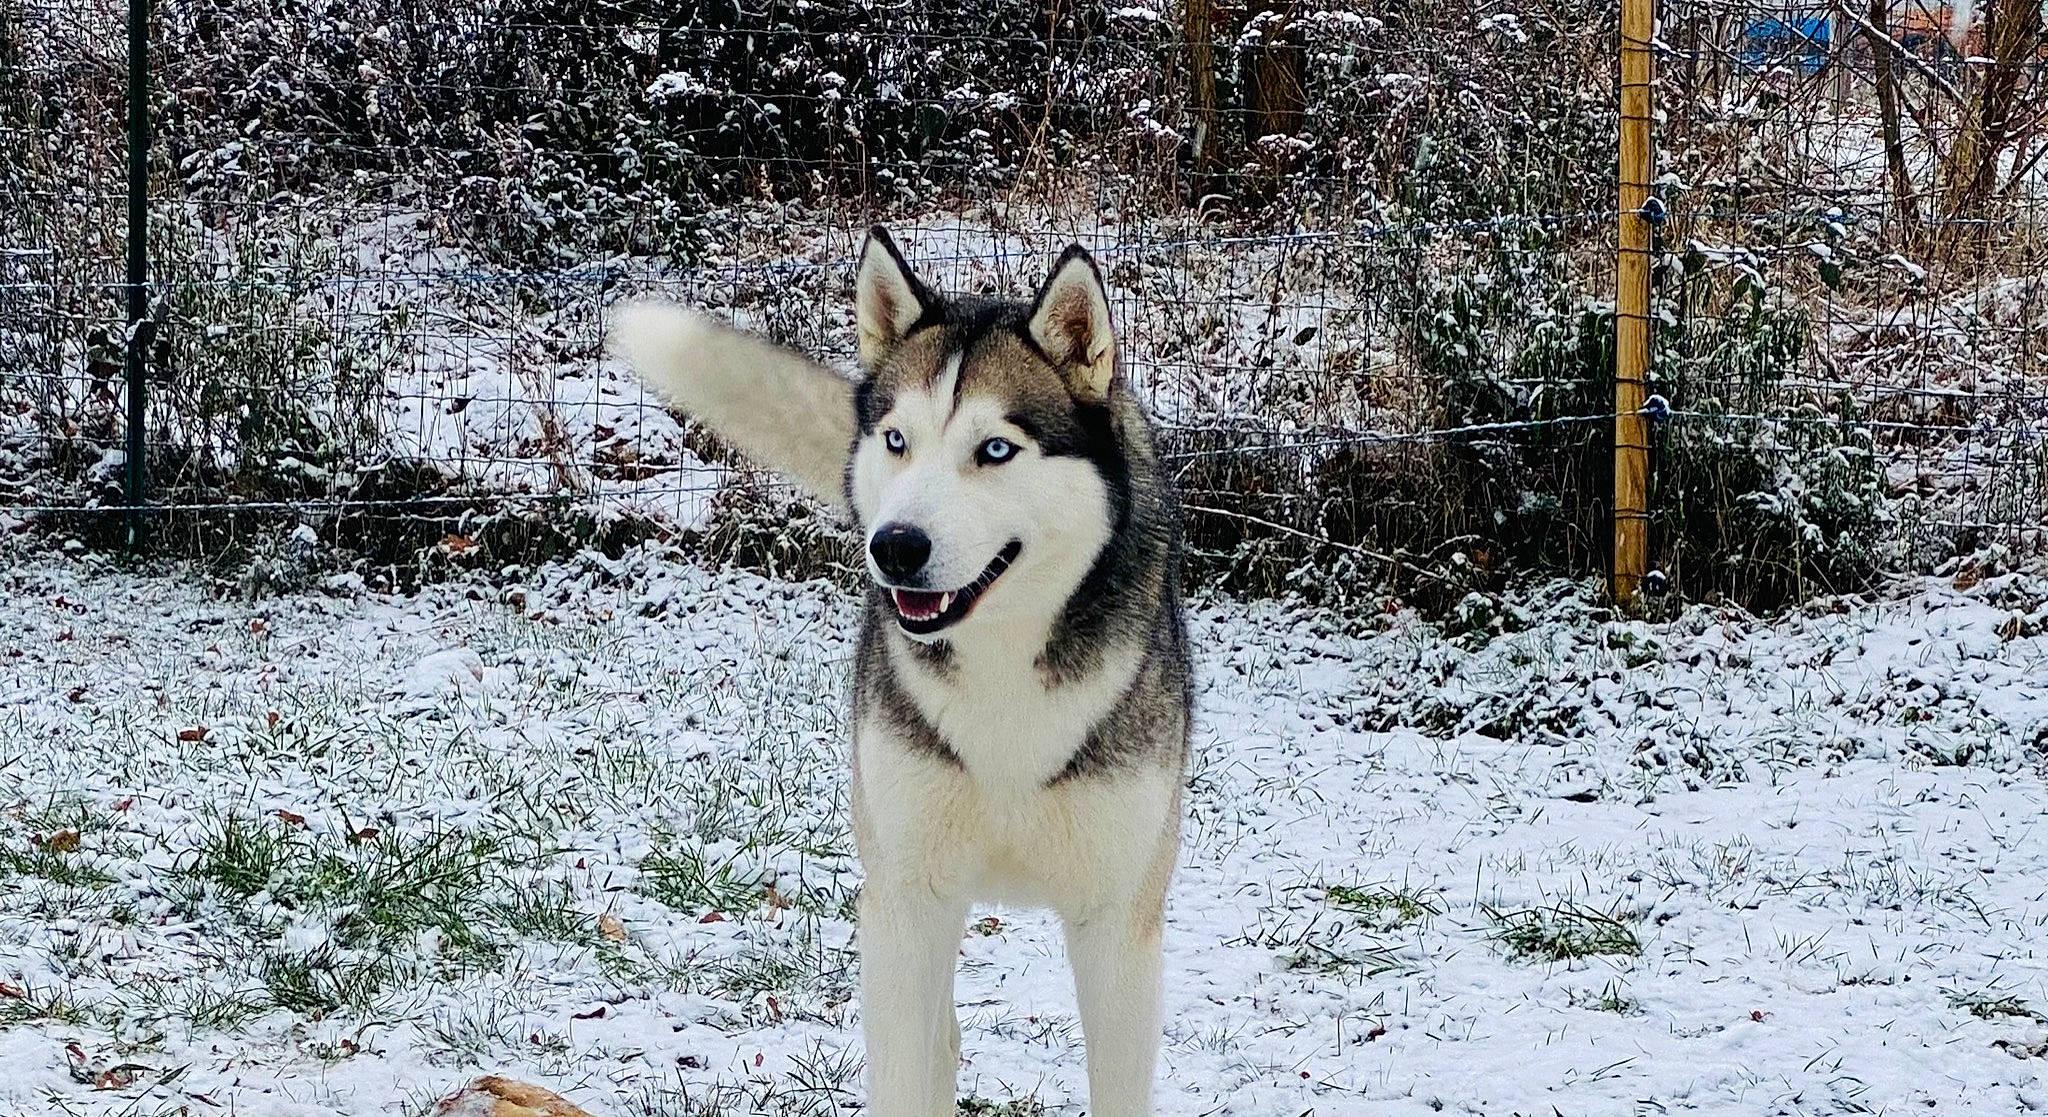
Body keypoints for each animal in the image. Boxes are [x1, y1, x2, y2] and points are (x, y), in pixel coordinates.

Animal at [610, 227, 1191, 1116]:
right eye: (896, 440)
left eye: (995, 449)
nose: (896, 546)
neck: (1002, 668)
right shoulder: (905, 904)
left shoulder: (1118, 923)